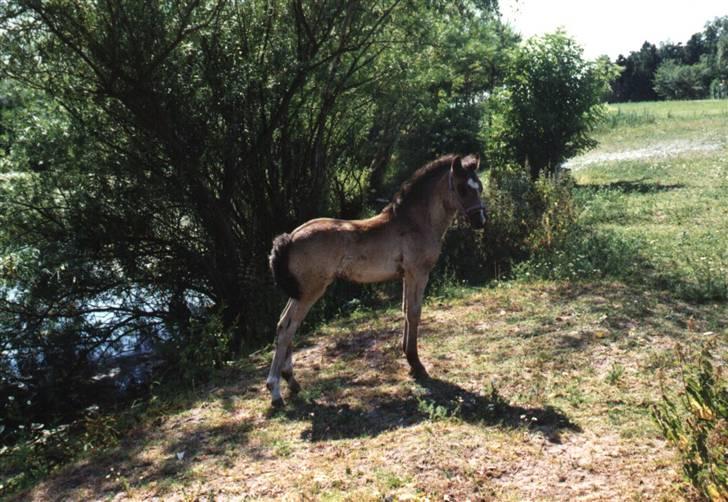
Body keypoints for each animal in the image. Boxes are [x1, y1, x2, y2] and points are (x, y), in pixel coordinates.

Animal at [266, 154, 484, 408]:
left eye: (479, 187)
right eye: (461, 188)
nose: (480, 221)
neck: (416, 222)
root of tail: (290, 237)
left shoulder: (406, 276)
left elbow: (405, 311)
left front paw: (409, 359)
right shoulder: (418, 273)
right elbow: (414, 313)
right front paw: (417, 364)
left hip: (300, 292)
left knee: (284, 324)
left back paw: (291, 381)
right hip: (312, 291)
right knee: (288, 327)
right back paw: (275, 392)